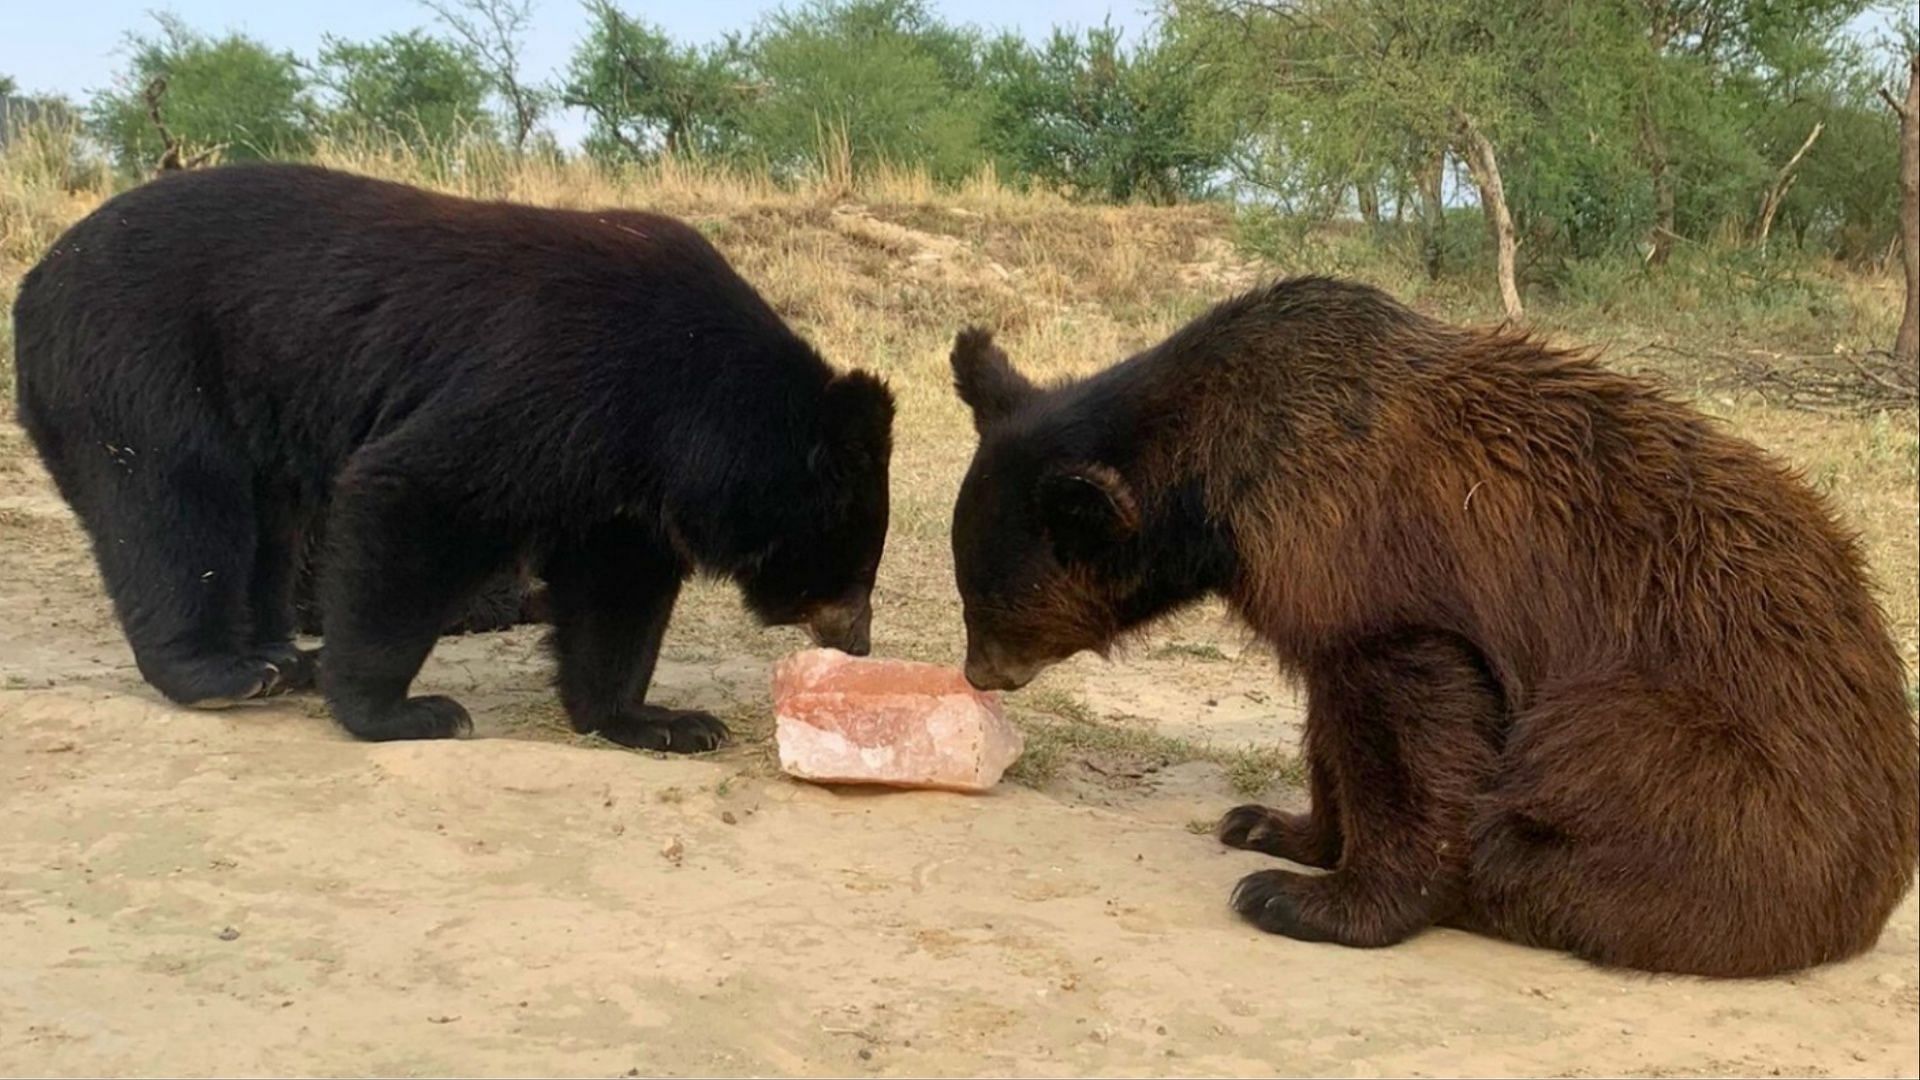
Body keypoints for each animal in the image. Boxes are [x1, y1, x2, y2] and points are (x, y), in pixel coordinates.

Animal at [15, 161, 890, 749]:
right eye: (850, 570)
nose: (858, 642)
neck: (690, 402)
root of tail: (38, 278)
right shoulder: (556, 384)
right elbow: (412, 492)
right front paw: (406, 712)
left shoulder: (623, 479)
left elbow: (617, 592)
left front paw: (664, 721)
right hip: (142, 362)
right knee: (175, 508)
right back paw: (222, 672)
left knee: (262, 527)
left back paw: (274, 655)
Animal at [948, 272, 1920, 972]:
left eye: (985, 600)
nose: (976, 672)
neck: (1225, 471)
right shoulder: (1316, 578)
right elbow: (1332, 713)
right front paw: (1277, 826)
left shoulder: (1370, 549)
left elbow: (1415, 720)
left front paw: (1304, 898)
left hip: (1724, 766)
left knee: (1588, 771)